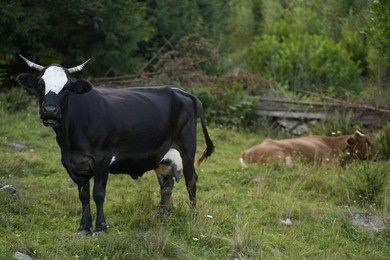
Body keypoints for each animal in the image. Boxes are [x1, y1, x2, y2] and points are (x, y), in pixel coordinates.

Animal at [16, 54, 215, 236]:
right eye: (40, 85)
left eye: (66, 88)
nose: (50, 111)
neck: (70, 140)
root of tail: (181, 92)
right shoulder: (73, 163)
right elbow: (83, 196)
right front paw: (84, 227)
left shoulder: (102, 158)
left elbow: (98, 194)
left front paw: (100, 228)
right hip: (162, 155)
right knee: (167, 185)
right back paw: (161, 215)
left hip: (187, 148)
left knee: (191, 180)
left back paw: (192, 215)